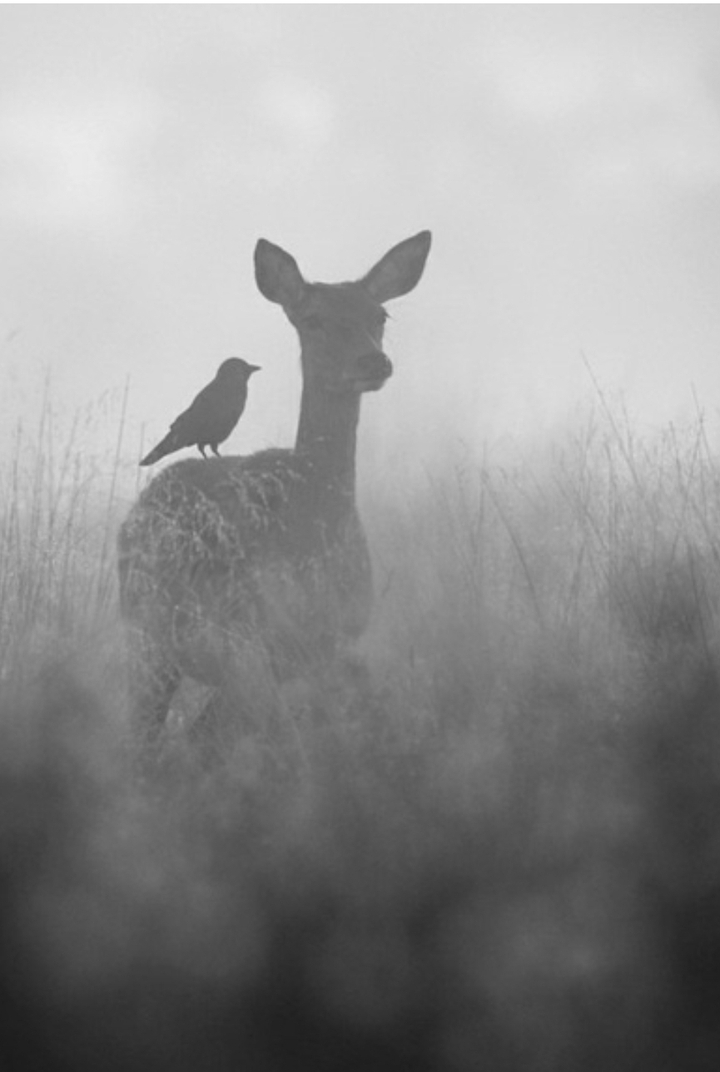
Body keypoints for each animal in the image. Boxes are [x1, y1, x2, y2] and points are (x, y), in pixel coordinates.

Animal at [117, 231, 432, 750]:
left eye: (380, 315)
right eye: (313, 318)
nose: (373, 361)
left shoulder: (332, 641)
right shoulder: (244, 639)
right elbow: (287, 746)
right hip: (145, 635)